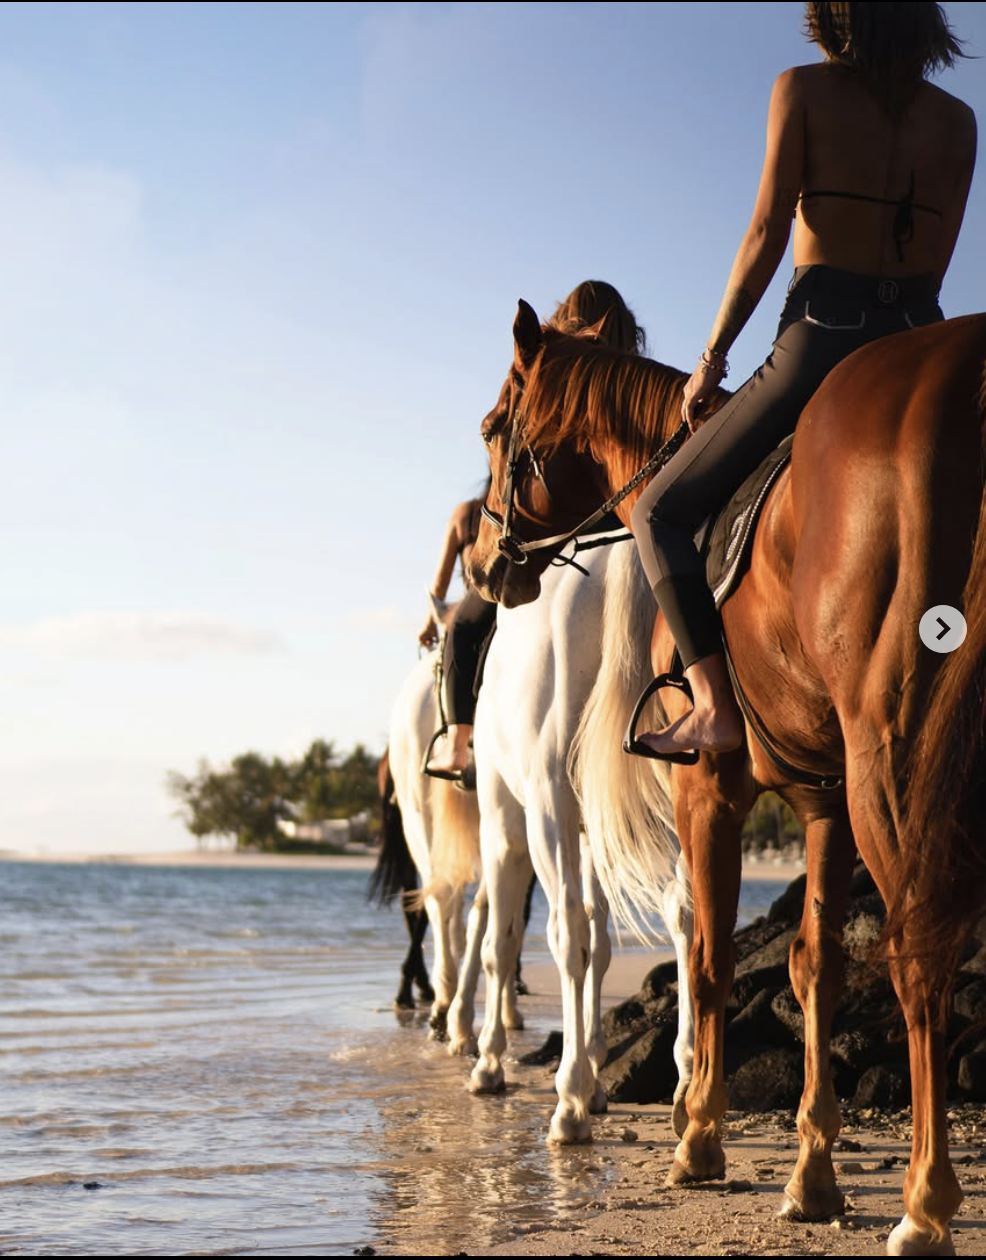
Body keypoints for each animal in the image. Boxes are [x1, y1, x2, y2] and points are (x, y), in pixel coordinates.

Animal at [443, 524, 694, 1144]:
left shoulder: (506, 820)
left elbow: (501, 943)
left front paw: (491, 1060)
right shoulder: (592, 832)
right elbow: (601, 943)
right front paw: (601, 1075)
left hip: (545, 807)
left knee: (564, 934)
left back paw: (570, 1098)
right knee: (685, 916)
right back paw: (686, 1085)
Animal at [469, 300, 986, 1255]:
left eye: (492, 427)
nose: (487, 563)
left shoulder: (707, 782)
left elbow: (706, 955)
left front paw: (699, 1140)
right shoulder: (824, 801)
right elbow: (814, 963)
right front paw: (812, 1172)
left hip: (890, 757)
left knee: (917, 953)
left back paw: (925, 1204)